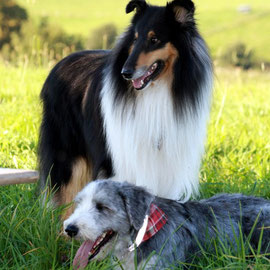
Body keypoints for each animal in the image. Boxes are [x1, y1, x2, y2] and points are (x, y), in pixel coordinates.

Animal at [39, 0, 213, 213]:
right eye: (135, 39)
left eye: (154, 39)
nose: (125, 73)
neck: (156, 91)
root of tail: (59, 64)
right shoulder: (118, 162)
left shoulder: (165, 167)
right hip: (67, 155)